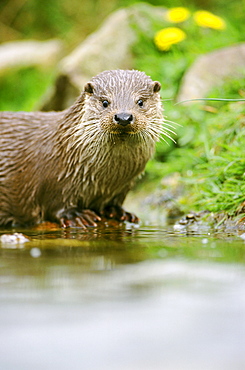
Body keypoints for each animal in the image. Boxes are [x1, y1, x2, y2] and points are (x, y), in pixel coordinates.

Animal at [0, 68, 170, 227]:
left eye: (140, 102)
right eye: (105, 102)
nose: (123, 117)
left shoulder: (123, 185)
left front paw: (118, 212)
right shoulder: (52, 182)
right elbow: (53, 204)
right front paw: (76, 215)